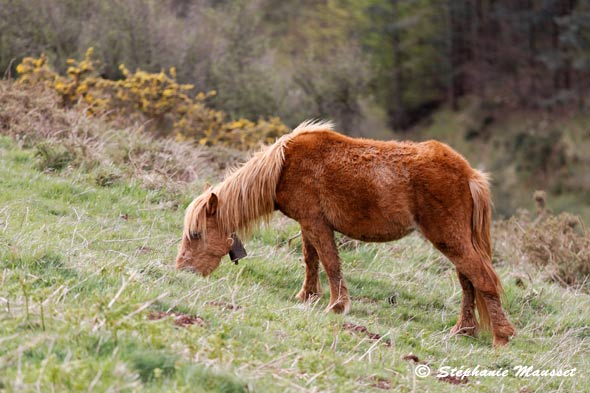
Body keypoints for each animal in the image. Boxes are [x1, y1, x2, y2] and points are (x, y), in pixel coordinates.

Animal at [177, 120, 520, 346]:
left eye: (195, 234)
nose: (182, 271)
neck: (285, 165)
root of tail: (469, 174)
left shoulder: (316, 223)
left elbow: (329, 262)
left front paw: (336, 305)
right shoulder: (308, 224)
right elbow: (311, 260)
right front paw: (307, 297)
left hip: (449, 239)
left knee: (481, 279)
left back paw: (501, 337)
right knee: (468, 282)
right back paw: (464, 330)